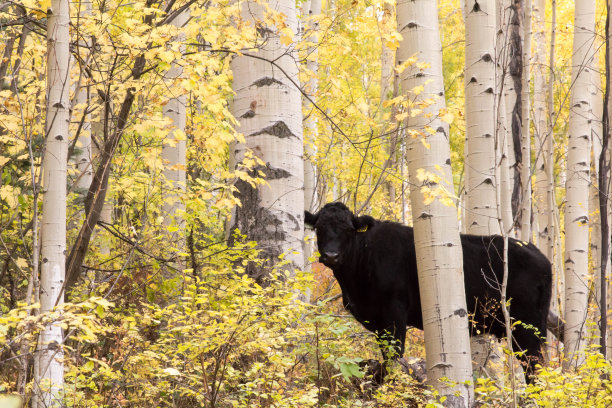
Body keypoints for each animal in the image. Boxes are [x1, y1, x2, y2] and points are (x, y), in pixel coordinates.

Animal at [308, 201, 552, 382]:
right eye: (319, 228)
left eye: (348, 229)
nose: (331, 255)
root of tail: (540, 255)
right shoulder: (376, 321)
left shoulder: (394, 312)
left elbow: (393, 356)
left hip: (527, 328)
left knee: (533, 366)